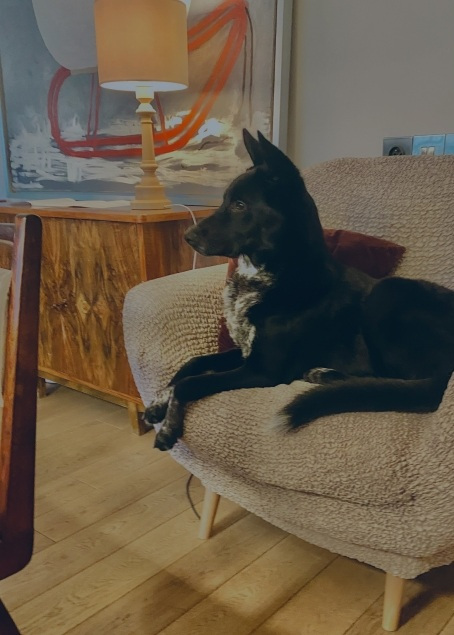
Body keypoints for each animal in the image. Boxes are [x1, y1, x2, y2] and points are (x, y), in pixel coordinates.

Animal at [147, 129, 454, 451]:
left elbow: (190, 383)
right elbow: (192, 363)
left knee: (399, 384)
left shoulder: (261, 370)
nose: (187, 236)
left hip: (387, 295)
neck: (272, 275)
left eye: (239, 205)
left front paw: (169, 426)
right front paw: (158, 402)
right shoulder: (244, 354)